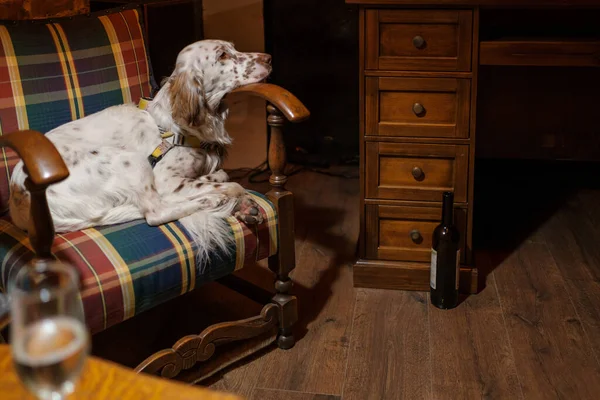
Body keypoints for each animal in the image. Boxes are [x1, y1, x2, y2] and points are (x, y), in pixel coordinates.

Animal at [8, 39, 274, 260]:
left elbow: (223, 175)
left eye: (234, 48)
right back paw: (210, 200)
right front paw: (229, 196)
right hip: (131, 161)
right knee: (155, 213)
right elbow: (235, 184)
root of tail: (19, 203)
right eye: (222, 55)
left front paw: (242, 204)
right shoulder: (165, 179)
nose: (269, 58)